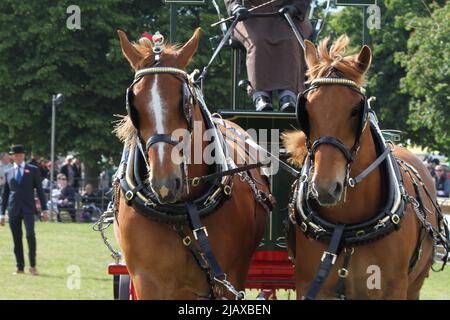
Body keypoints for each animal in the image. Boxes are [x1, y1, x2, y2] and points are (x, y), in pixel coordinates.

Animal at [113, 28, 270, 300]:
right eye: (134, 105)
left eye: (185, 101)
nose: (165, 183)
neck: (185, 211)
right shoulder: (148, 282)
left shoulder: (227, 281)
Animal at [284, 36, 448, 298]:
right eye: (306, 110)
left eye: (355, 110)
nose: (325, 187)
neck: (347, 228)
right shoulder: (311, 286)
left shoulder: (392, 289)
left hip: (414, 285)